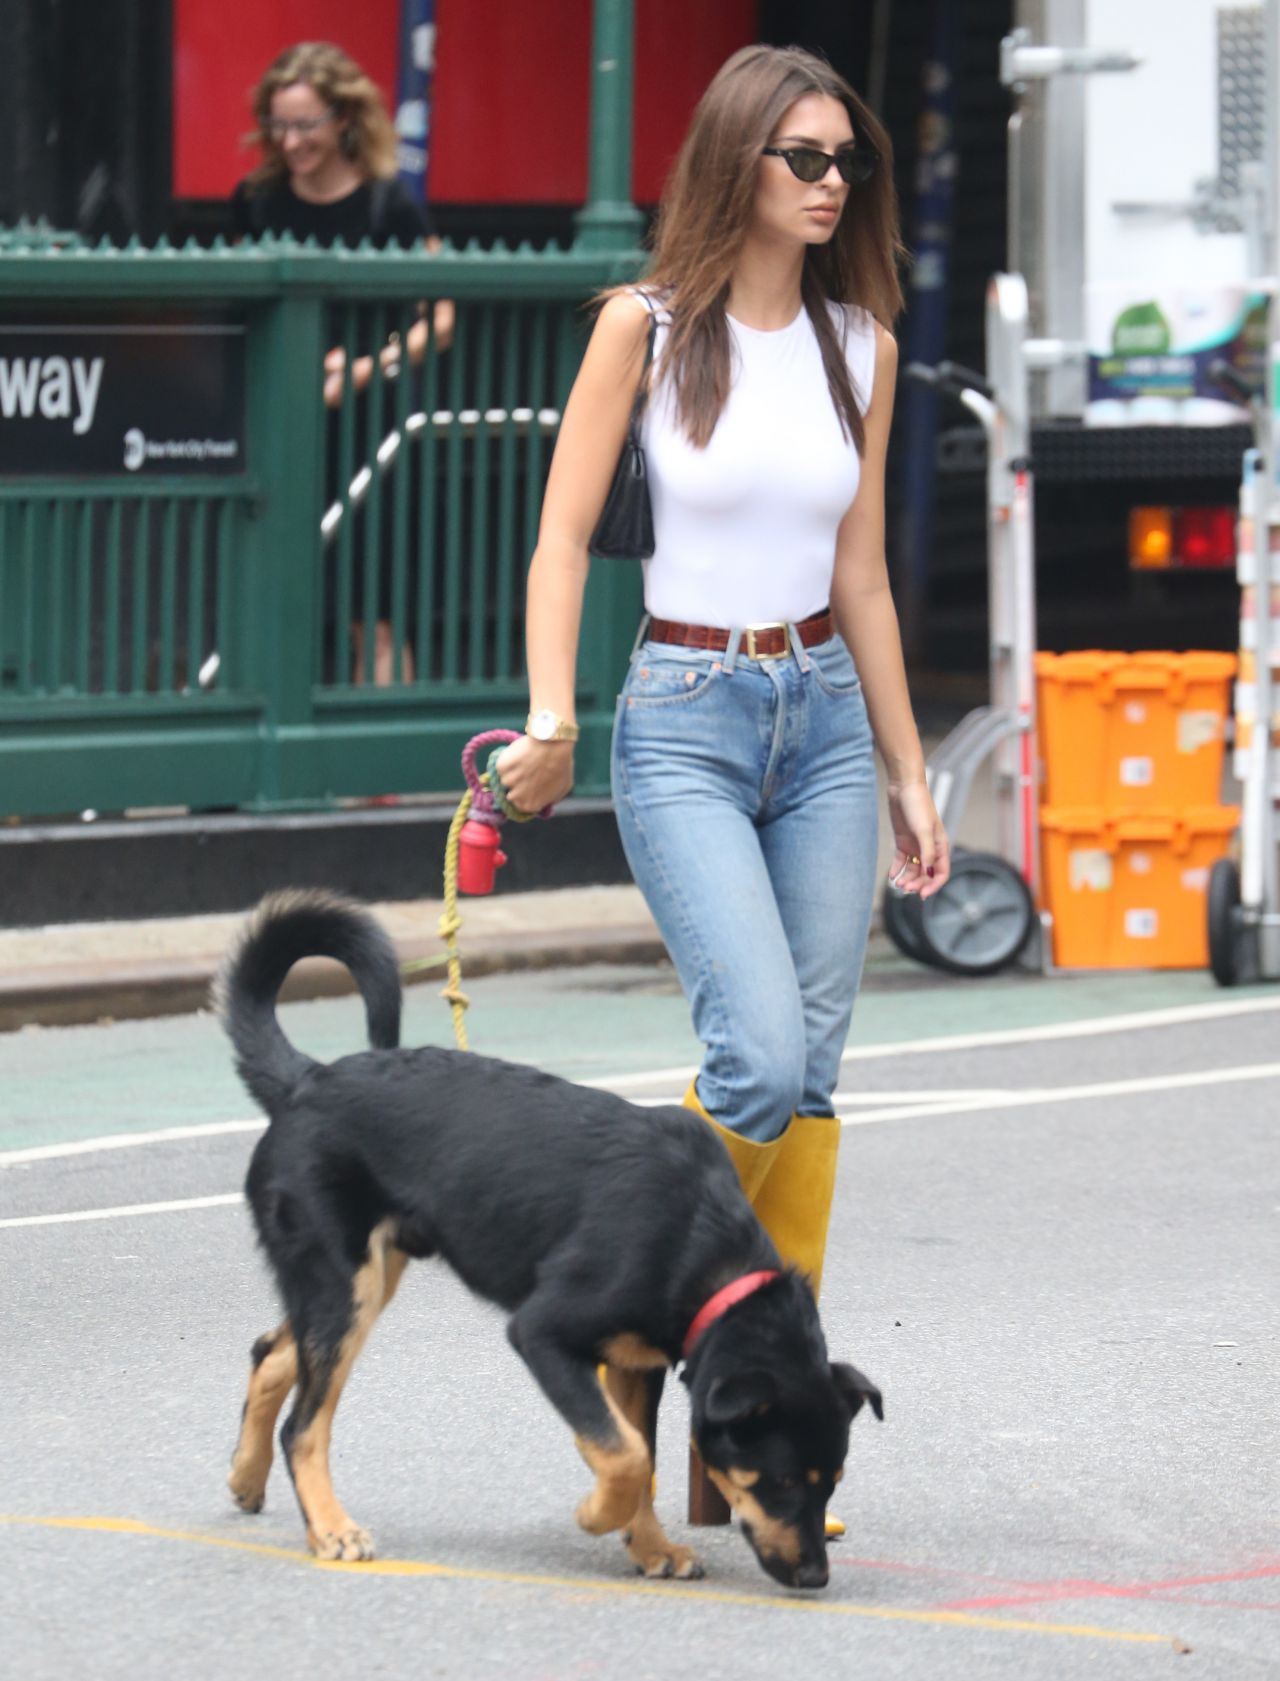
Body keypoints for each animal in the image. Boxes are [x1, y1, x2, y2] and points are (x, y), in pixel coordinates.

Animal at [216, 894, 881, 1586]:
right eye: (781, 1480)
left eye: (833, 1480)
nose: (816, 1577)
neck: (701, 1244)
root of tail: (308, 1081)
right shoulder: (542, 1331)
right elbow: (625, 1454)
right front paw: (597, 1516)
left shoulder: (634, 1361)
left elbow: (638, 1450)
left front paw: (650, 1547)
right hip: (344, 1280)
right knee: (302, 1424)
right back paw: (331, 1528)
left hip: (359, 1277)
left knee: (272, 1354)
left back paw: (246, 1478)